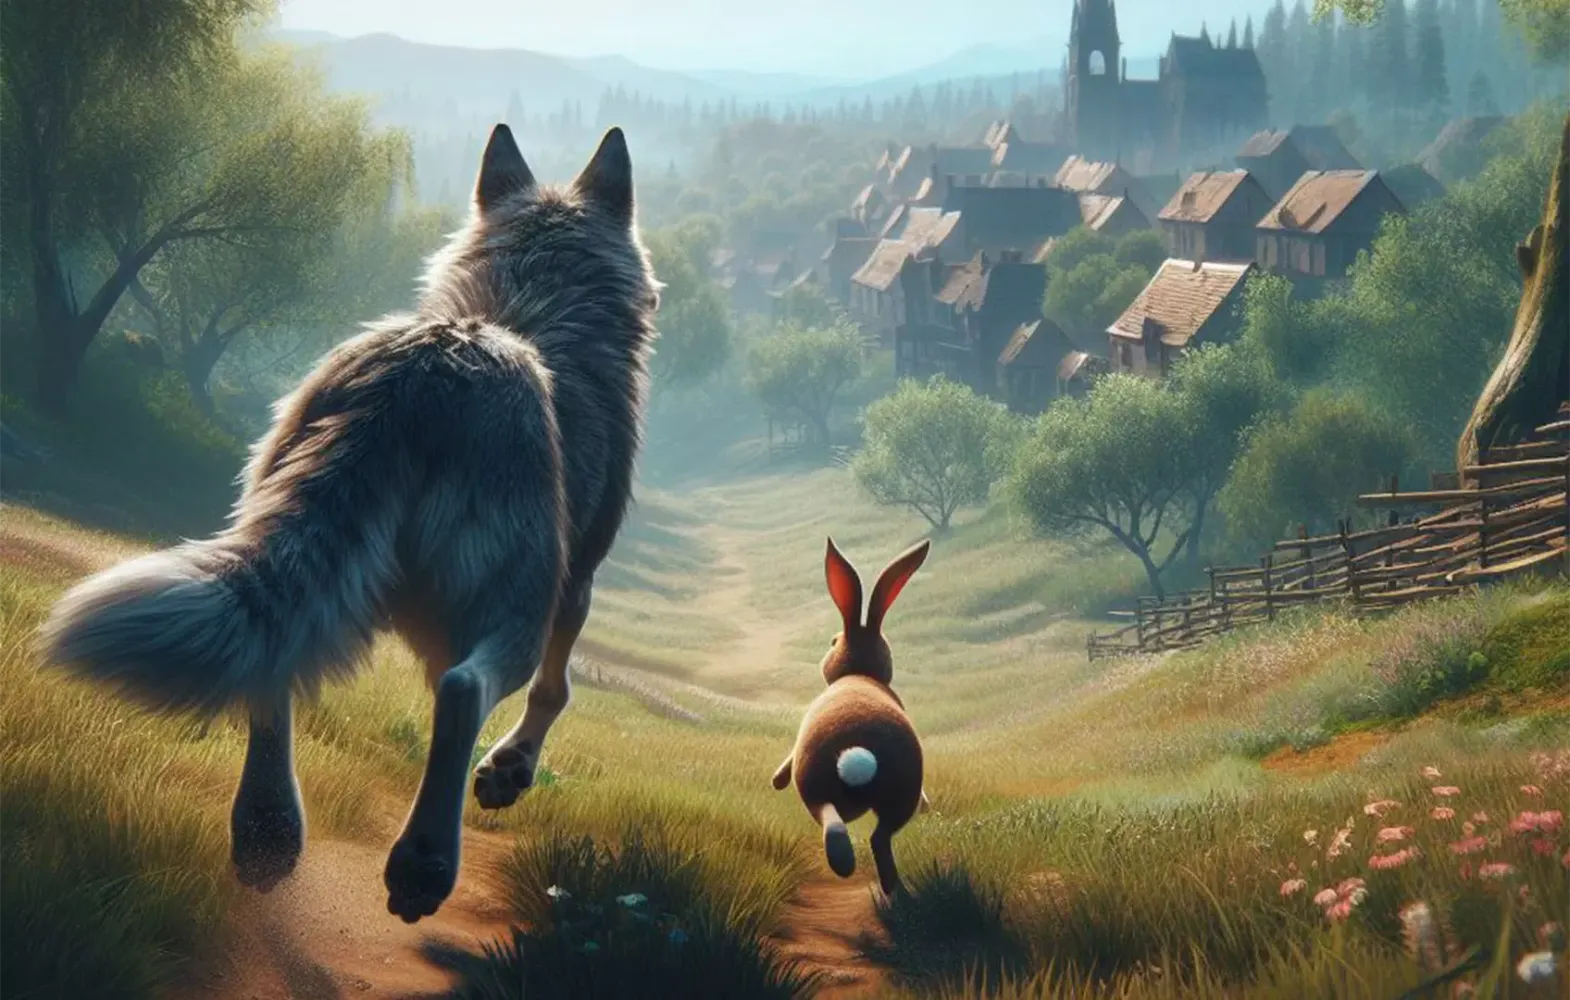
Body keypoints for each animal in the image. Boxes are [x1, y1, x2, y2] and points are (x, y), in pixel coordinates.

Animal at [36, 124, 659, 923]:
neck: (533, 305)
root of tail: (425, 369)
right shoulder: (576, 582)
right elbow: (556, 690)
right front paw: (509, 773)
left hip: (284, 539)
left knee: (273, 671)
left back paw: (268, 836)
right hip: (510, 612)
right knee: (464, 690)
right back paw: (423, 867)